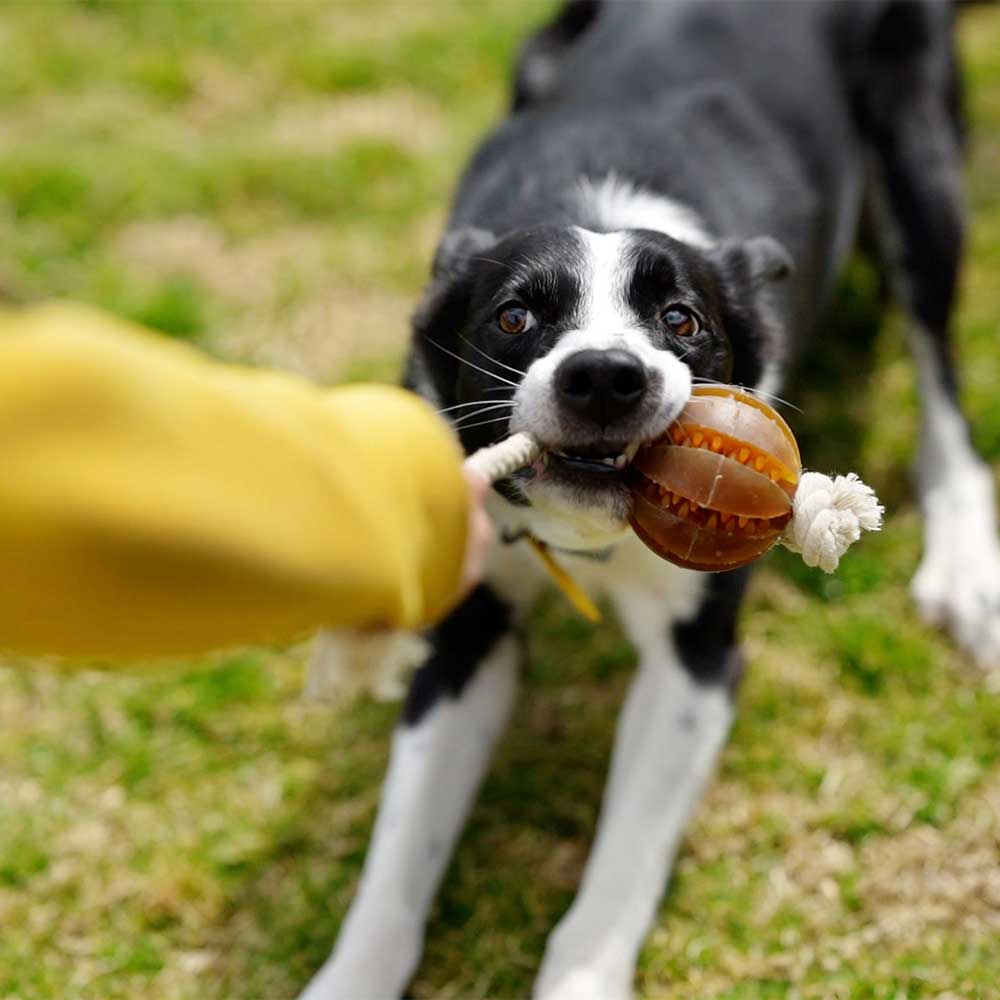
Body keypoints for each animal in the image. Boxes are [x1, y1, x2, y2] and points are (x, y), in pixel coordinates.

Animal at [300, 3, 996, 996]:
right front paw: (350, 975)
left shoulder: (696, 660)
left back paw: (966, 568)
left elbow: (622, 864)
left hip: (921, 168)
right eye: (514, 316)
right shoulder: (464, 633)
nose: (604, 376)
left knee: (942, 382)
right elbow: (400, 852)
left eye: (681, 321)